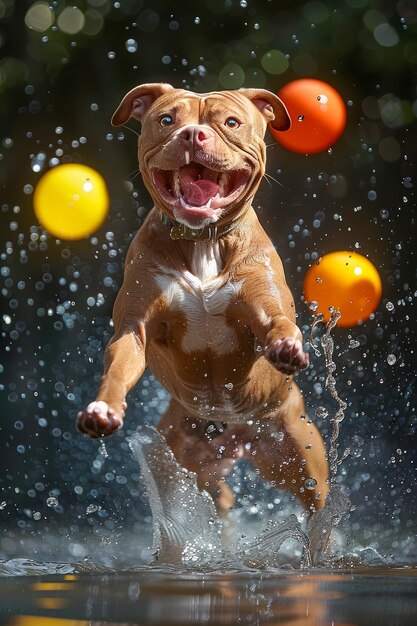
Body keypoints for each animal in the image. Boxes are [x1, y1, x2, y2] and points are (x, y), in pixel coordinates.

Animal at [75, 83, 328, 512]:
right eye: (166, 120)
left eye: (231, 122)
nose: (193, 134)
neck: (203, 241)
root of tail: (233, 435)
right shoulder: (134, 328)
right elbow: (119, 365)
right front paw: (103, 409)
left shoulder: (263, 305)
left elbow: (278, 323)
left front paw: (286, 348)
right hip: (176, 462)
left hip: (299, 454)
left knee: (318, 505)